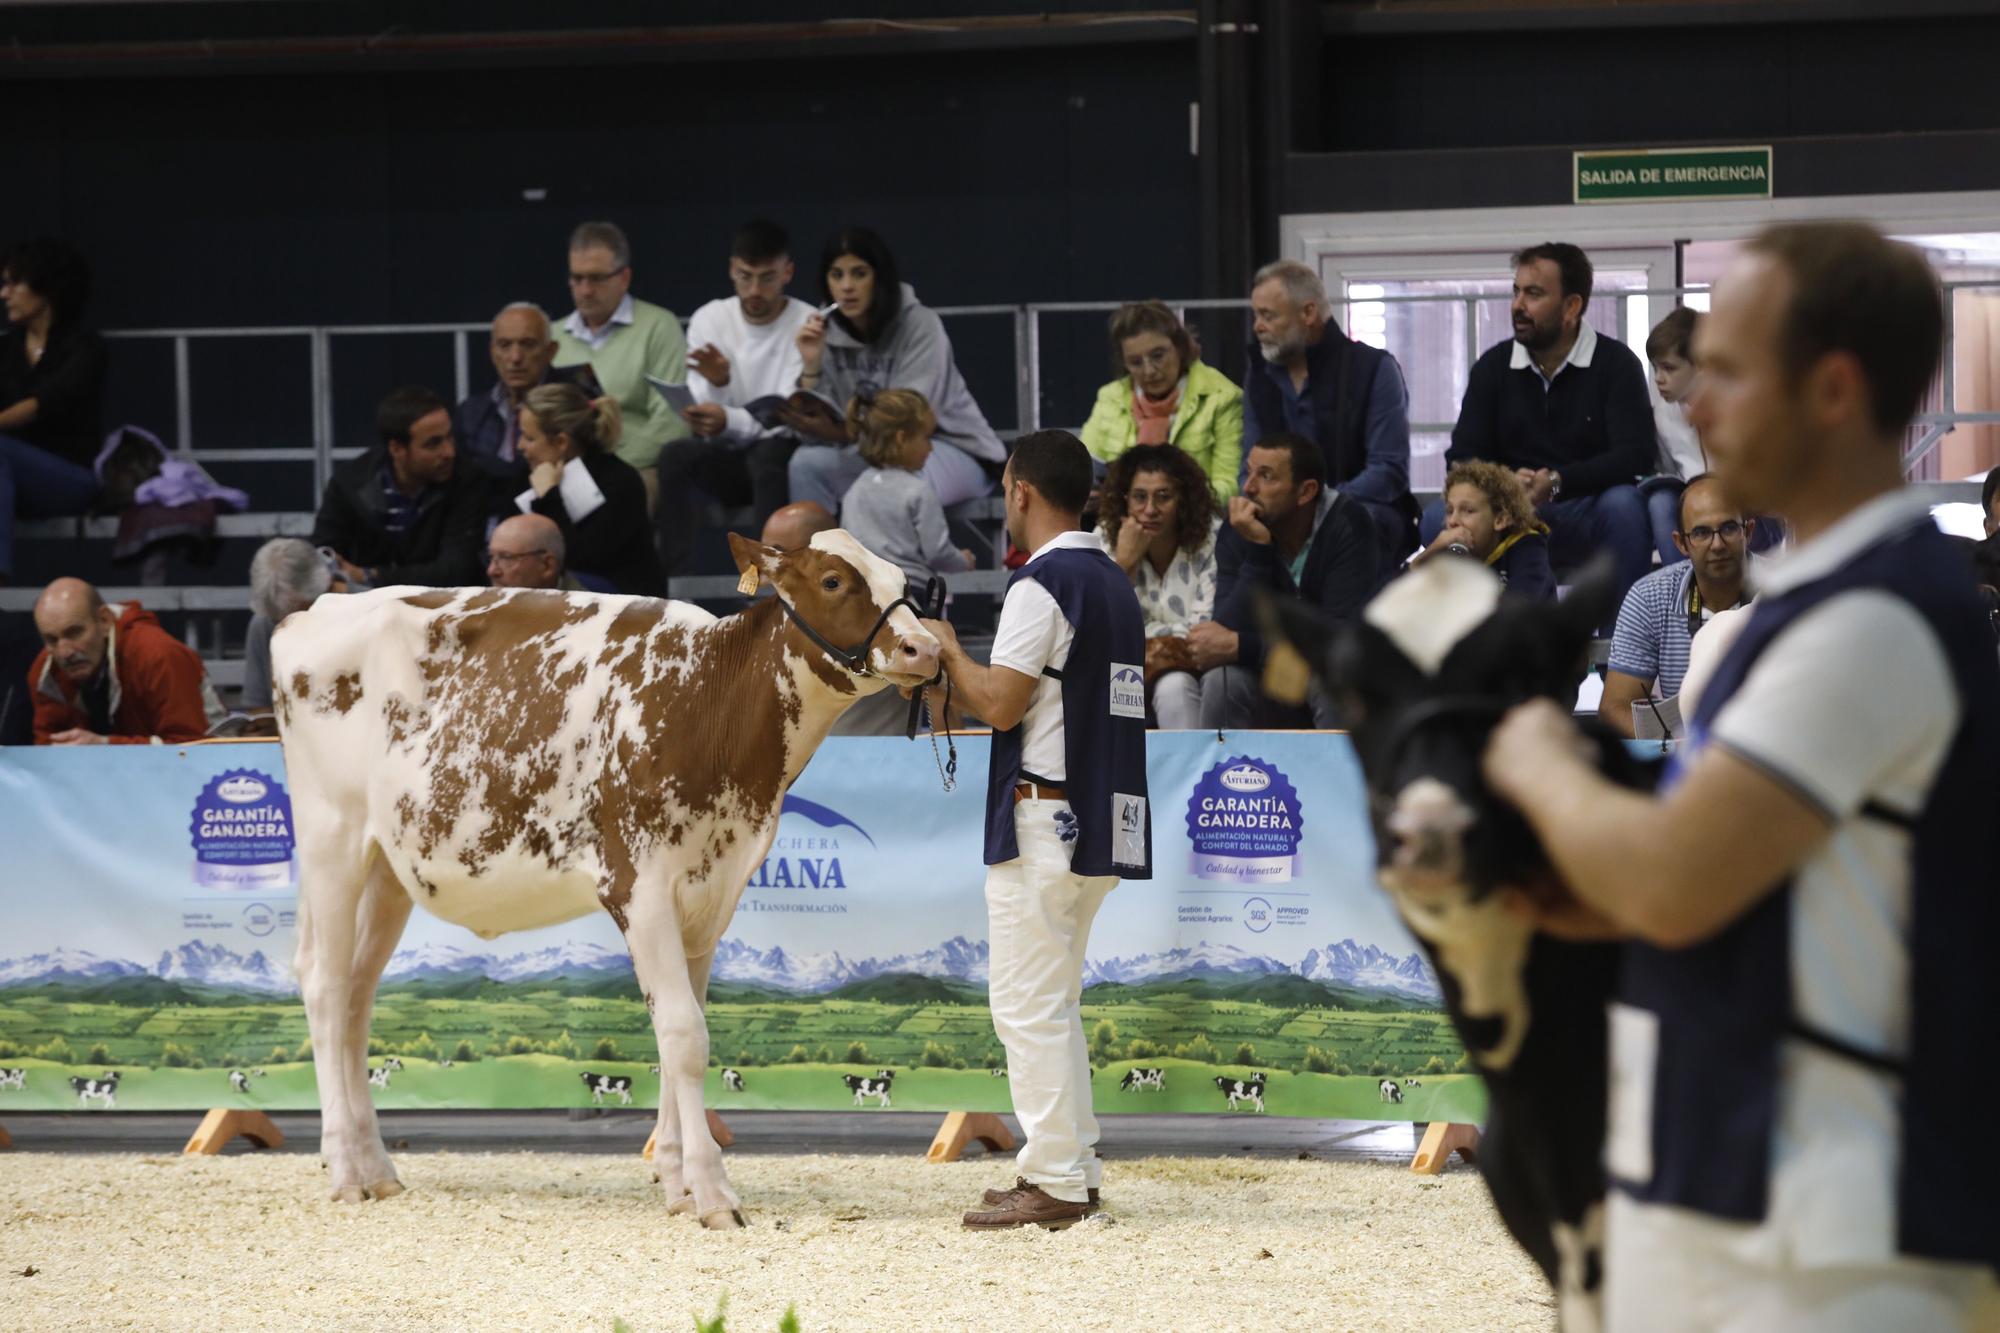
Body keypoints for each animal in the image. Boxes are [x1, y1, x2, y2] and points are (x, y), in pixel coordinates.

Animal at [268, 528, 944, 1224]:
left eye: (902, 581)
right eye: (834, 581)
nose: (926, 648)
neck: (704, 698)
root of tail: (313, 612)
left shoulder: (710, 893)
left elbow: (681, 1032)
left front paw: (676, 1183)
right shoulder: (638, 886)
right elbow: (684, 1036)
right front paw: (712, 1192)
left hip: (388, 870)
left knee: (356, 996)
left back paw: (378, 1168)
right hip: (332, 839)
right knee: (325, 987)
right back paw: (344, 1168)